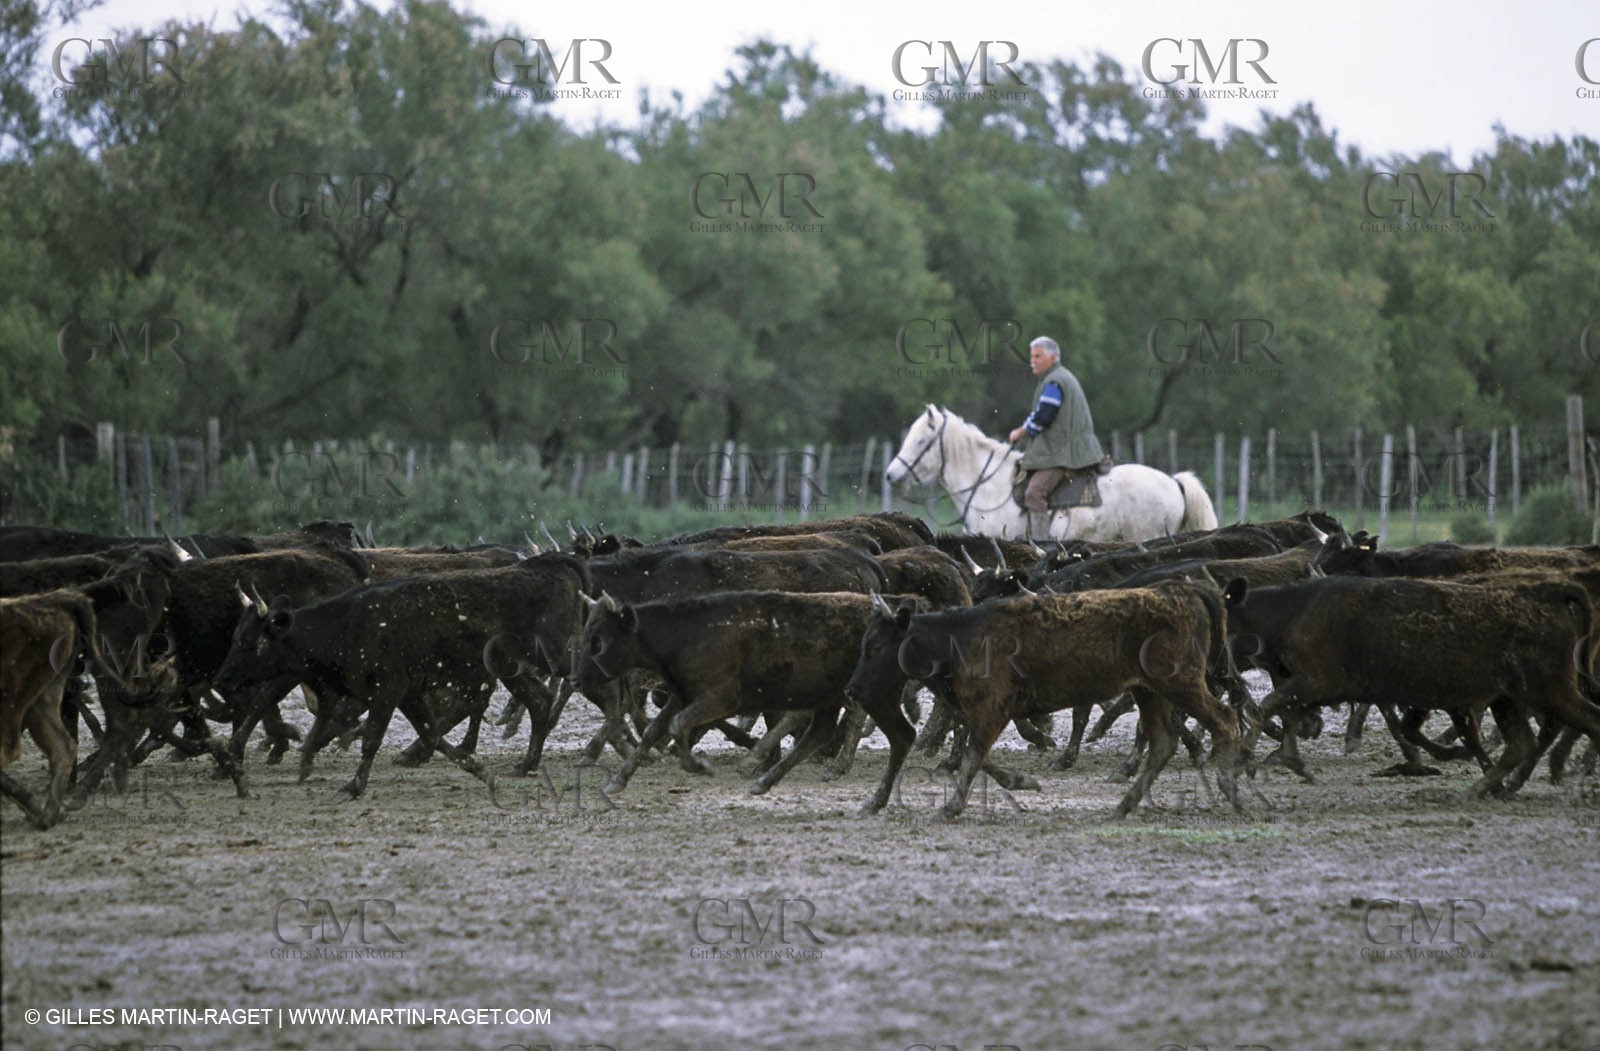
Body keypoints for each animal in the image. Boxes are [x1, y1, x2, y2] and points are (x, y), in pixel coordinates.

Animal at [846, 582, 1246, 820]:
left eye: (875, 645)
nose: (853, 690)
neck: (959, 639)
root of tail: (1183, 591)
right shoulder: (984, 711)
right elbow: (979, 755)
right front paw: (1021, 780)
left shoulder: (992, 707)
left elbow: (973, 755)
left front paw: (950, 807)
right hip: (1150, 691)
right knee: (1163, 742)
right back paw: (1122, 806)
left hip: (1180, 683)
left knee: (1224, 720)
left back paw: (1231, 791)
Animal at [1223, 575, 1600, 798]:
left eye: (1222, 621)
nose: (1220, 669)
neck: (1293, 612)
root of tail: (1548, 593)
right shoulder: (1305, 685)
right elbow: (1284, 713)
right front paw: (1287, 760)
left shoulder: (1315, 680)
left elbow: (1266, 709)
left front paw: (1243, 765)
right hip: (1508, 698)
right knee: (1521, 743)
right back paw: (1481, 788)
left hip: (1552, 690)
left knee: (1584, 721)